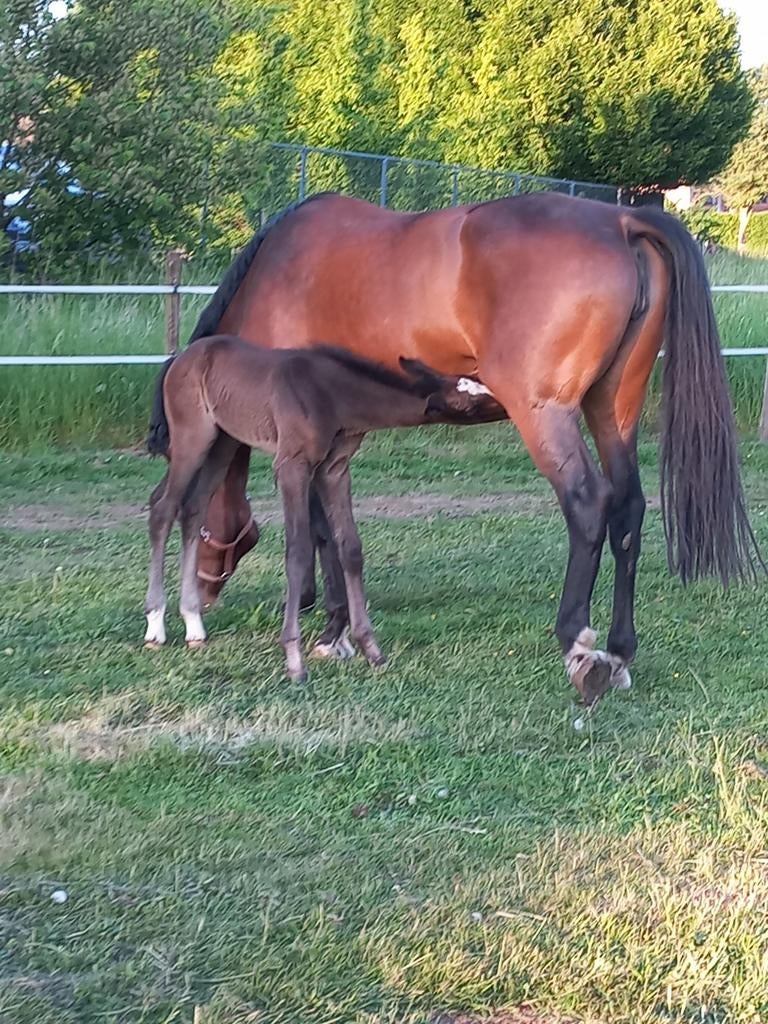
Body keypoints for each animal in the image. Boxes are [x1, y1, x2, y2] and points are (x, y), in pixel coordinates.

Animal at [144, 335, 502, 682]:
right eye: (470, 403)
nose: (506, 402)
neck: (334, 397)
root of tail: (178, 359)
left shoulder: (334, 469)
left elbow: (350, 549)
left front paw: (371, 649)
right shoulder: (291, 465)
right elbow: (298, 552)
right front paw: (294, 660)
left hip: (224, 443)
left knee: (193, 508)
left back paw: (194, 624)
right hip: (193, 438)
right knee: (163, 506)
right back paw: (155, 625)